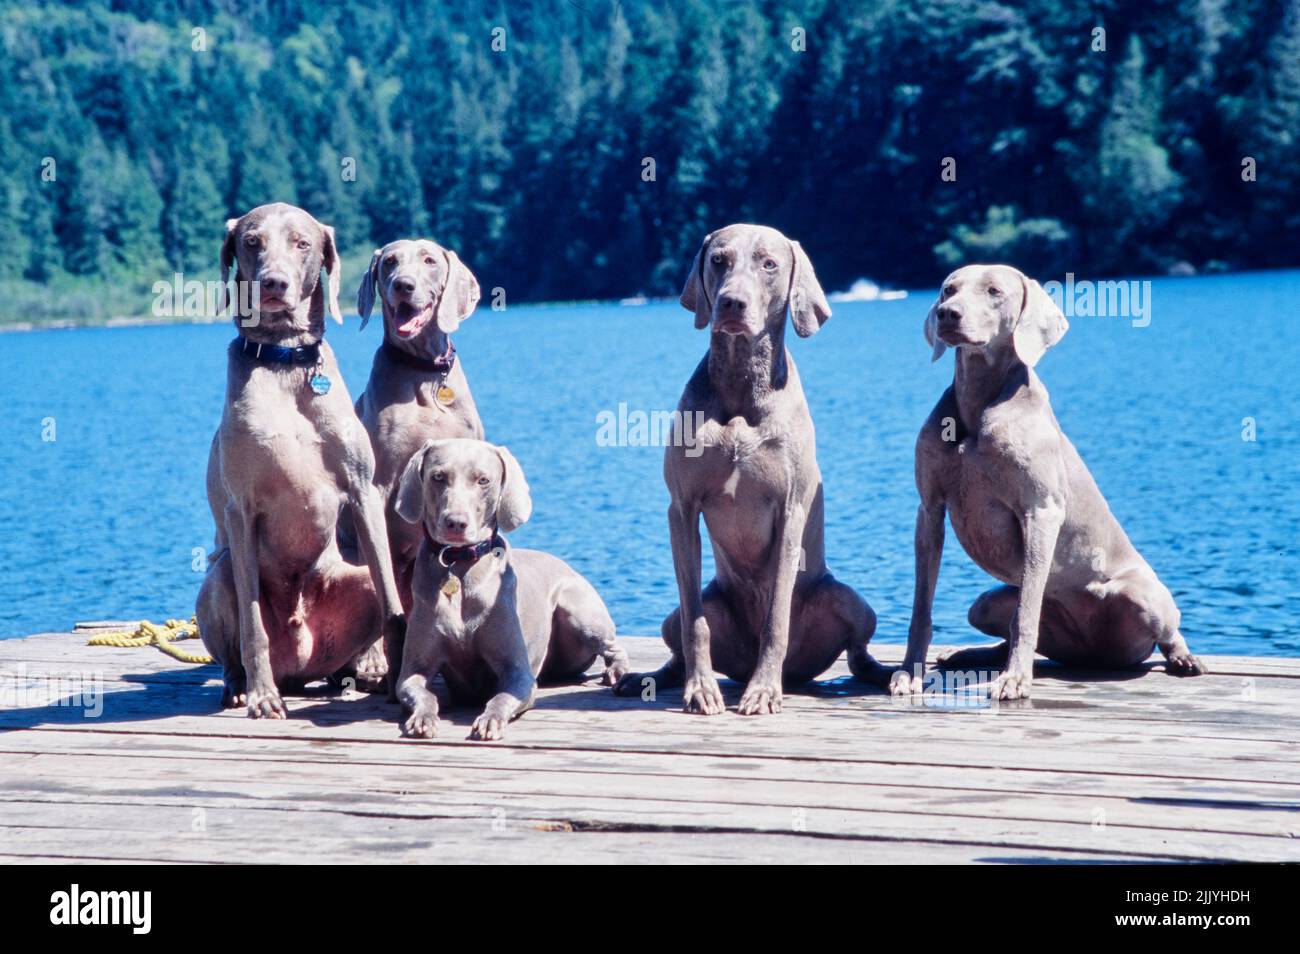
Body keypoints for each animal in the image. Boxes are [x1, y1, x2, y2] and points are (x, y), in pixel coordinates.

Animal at [193, 205, 400, 722]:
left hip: (353, 578)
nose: (274, 283)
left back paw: (358, 672)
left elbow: (393, 597)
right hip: (218, 575)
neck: (285, 360)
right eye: (251, 242)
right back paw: (243, 687)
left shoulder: (363, 492)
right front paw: (262, 698)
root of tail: (302, 666)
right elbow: (252, 625)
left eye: (302, 243)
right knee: (233, 643)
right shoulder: (241, 510)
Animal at [390, 436, 629, 743]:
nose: (455, 523)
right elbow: (424, 694)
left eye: (483, 480)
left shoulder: (518, 673)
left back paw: (618, 672)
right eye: (438, 477)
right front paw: (423, 718)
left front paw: (489, 721)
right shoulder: (413, 670)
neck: (459, 565)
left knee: (613, 646)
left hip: (580, 613)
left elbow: (500, 697)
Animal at [611, 226, 883, 717]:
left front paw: (763, 691)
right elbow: (694, 624)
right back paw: (648, 677)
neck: (741, 383)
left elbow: (776, 617)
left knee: (857, 653)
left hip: (849, 600)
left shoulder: (791, 509)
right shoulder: (681, 509)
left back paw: (889, 676)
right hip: (680, 614)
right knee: (679, 636)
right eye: (718, 260)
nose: (732, 303)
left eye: (769, 264)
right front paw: (700, 689)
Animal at [894, 265, 1206, 696]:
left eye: (994, 291)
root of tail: (1093, 657)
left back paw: (1184, 657)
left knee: (1168, 629)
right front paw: (910, 672)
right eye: (948, 289)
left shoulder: (1040, 511)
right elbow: (921, 607)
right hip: (984, 604)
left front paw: (1015, 680)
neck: (978, 403)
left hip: (1144, 597)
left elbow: (1025, 612)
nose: (947, 314)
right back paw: (968, 654)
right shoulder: (930, 510)